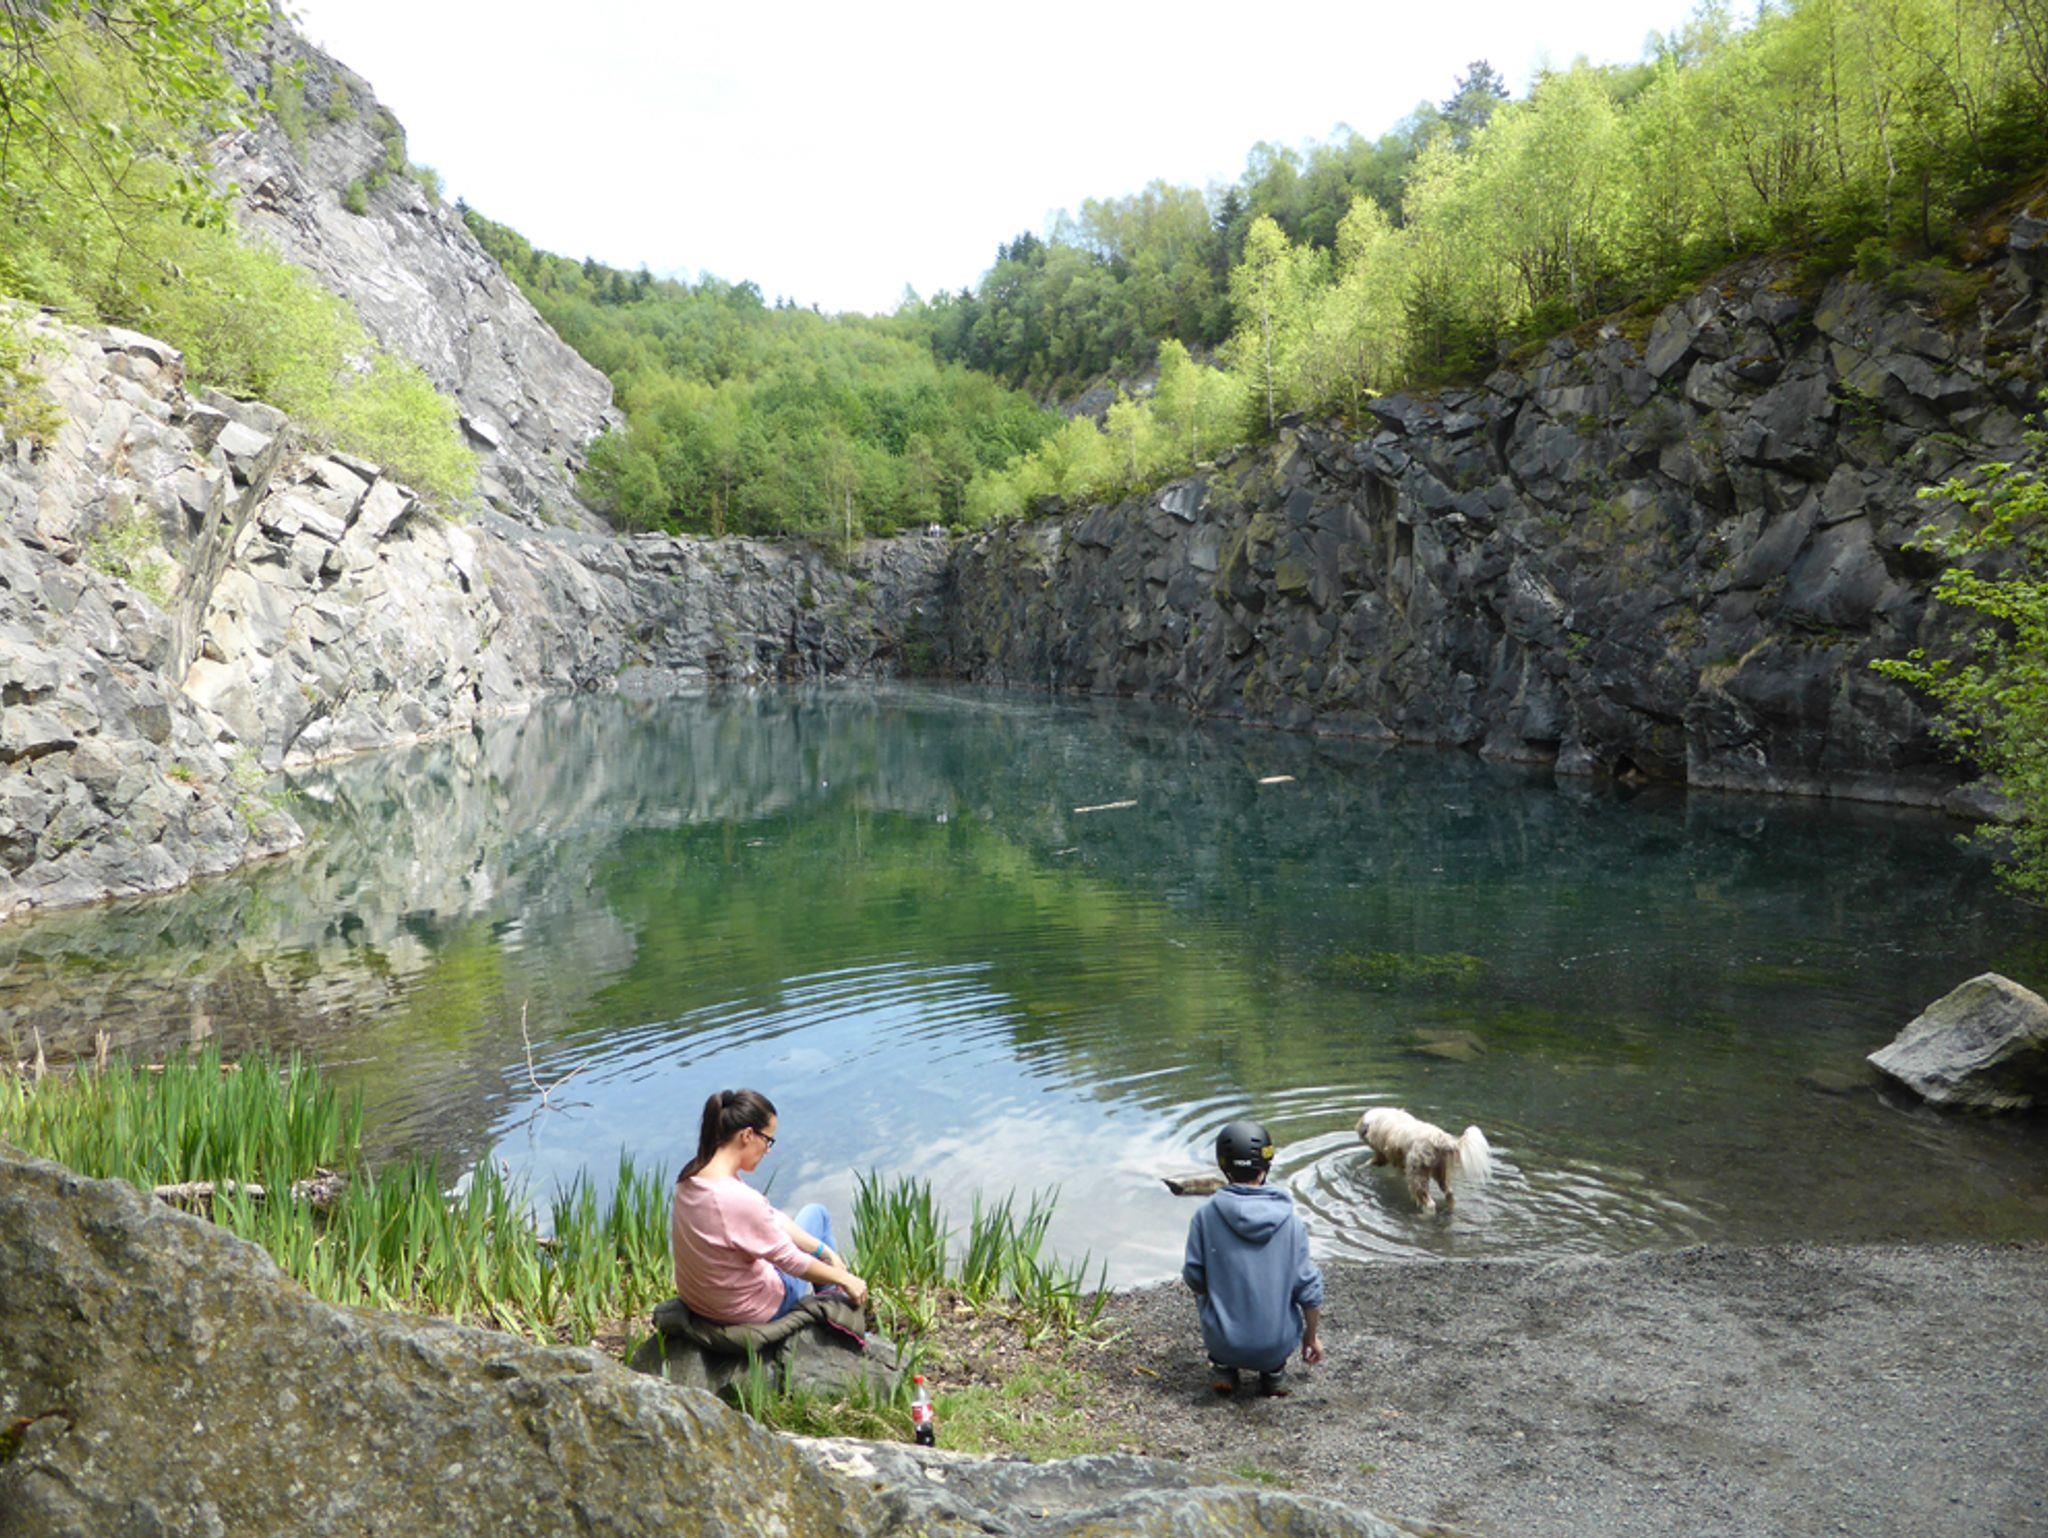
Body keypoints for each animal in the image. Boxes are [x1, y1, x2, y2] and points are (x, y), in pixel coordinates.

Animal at [1357, 1107, 1492, 1214]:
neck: (1373, 1119)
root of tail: (1440, 1140)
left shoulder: (1384, 1154)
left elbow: (1372, 1162)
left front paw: (1359, 1168)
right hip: (1440, 1172)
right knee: (1449, 1194)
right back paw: (1450, 1209)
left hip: (1417, 1175)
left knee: (1429, 1204)